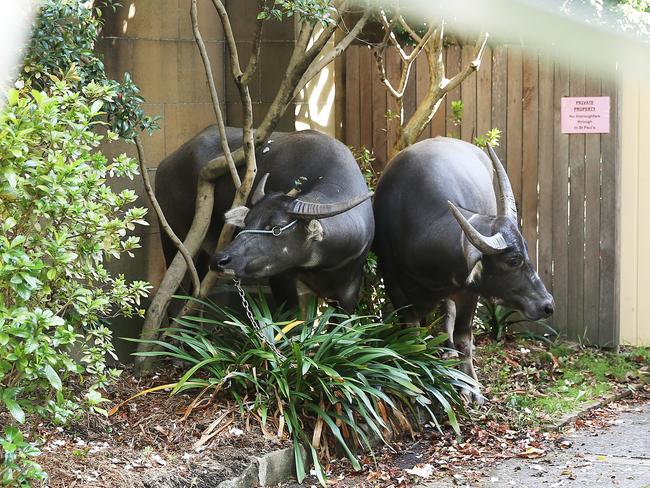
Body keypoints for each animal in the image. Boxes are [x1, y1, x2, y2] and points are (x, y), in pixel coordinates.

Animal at [154, 127, 372, 312]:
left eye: (276, 228)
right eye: (247, 222)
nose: (221, 260)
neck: (325, 263)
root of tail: (165, 164)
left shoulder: (348, 290)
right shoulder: (282, 281)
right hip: (174, 243)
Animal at [370, 136, 552, 400]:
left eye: (527, 250)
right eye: (512, 260)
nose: (548, 305)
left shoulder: (468, 292)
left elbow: (464, 337)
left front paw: (471, 387)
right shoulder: (393, 283)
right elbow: (412, 333)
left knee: (449, 314)